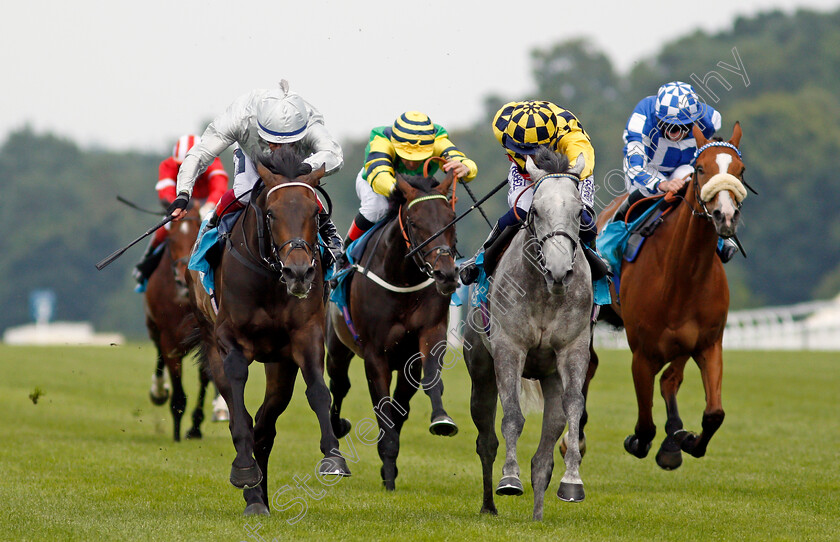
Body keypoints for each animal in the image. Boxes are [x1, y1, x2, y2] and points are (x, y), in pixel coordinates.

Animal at [144, 204, 213, 442]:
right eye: (171, 240)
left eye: (195, 237)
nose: (184, 281)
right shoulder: (169, 339)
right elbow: (178, 394)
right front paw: (176, 434)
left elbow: (206, 376)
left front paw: (195, 427)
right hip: (154, 328)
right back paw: (158, 391)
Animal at [187, 146, 348, 520]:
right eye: (271, 214)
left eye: (315, 212)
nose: (299, 272)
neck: (268, 274)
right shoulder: (231, 342)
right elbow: (240, 414)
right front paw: (245, 472)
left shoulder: (306, 336)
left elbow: (319, 392)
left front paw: (333, 457)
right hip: (213, 344)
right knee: (241, 416)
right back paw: (252, 489)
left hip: (280, 364)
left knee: (266, 422)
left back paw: (259, 496)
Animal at [326, 169, 460, 492]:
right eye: (414, 222)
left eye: (450, 218)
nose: (446, 274)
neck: (403, 278)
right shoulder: (376, 354)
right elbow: (382, 409)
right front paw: (387, 473)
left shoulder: (430, 334)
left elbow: (429, 380)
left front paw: (441, 419)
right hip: (337, 349)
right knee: (339, 388)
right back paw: (339, 432)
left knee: (401, 405)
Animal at [592, 123, 748, 472]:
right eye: (701, 168)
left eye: (740, 170)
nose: (725, 216)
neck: (682, 277)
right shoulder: (642, 354)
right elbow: (644, 427)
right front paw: (638, 441)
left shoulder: (707, 343)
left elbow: (714, 414)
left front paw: (683, 440)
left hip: (682, 344)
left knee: (669, 380)